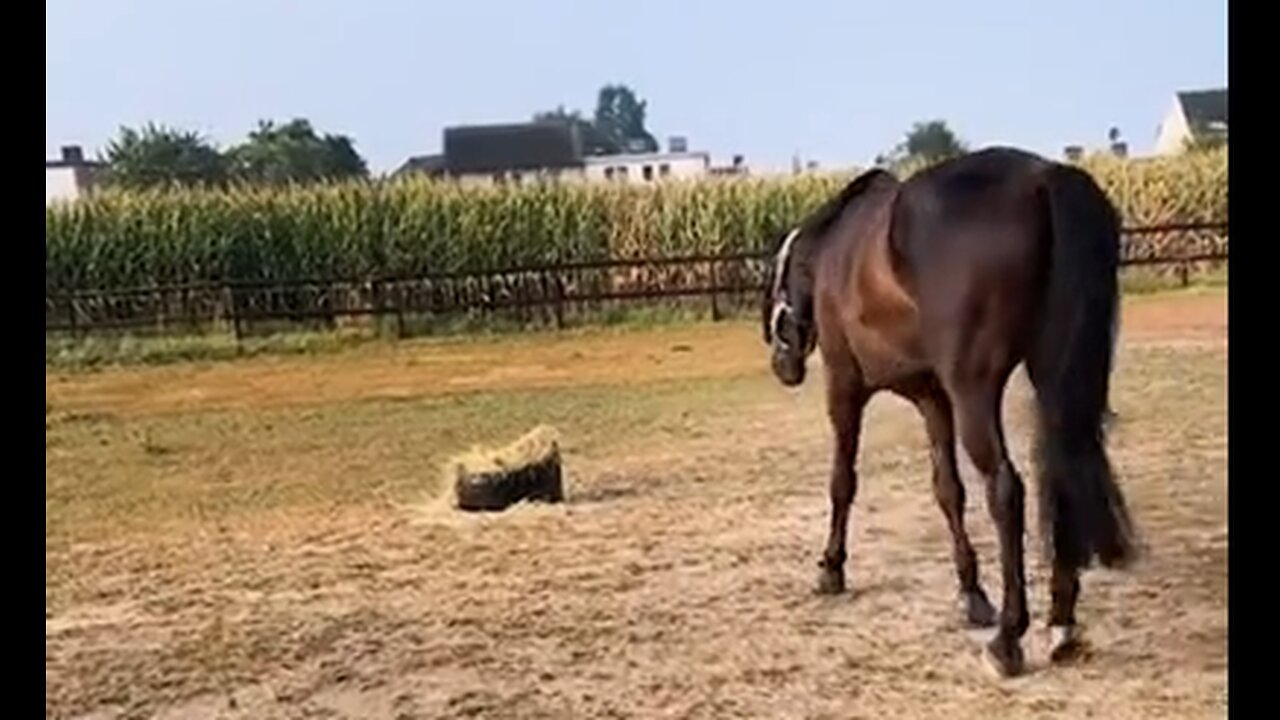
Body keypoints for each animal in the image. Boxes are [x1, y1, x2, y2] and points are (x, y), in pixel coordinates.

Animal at [762, 148, 1136, 676]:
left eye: (776, 288)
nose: (783, 365)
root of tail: (1044, 178)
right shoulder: (932, 397)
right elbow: (948, 490)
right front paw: (972, 594)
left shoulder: (845, 387)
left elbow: (842, 481)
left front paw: (831, 568)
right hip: (1054, 375)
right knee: (1065, 468)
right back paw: (1061, 625)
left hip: (973, 391)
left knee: (1005, 489)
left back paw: (1009, 640)